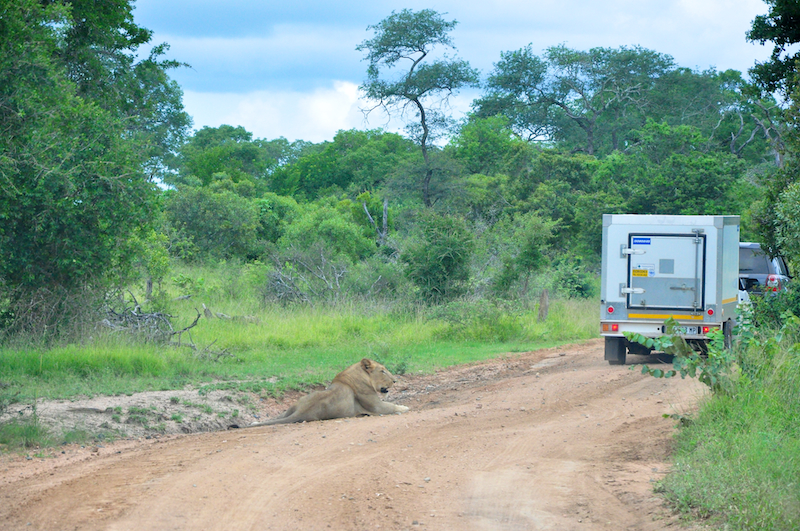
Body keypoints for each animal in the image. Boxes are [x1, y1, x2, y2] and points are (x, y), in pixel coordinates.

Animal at [249, 358, 409, 426]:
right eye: (382, 371)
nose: (395, 381)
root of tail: (302, 410)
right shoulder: (376, 406)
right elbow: (392, 406)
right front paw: (405, 407)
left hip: (292, 406)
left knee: (280, 415)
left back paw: (255, 421)